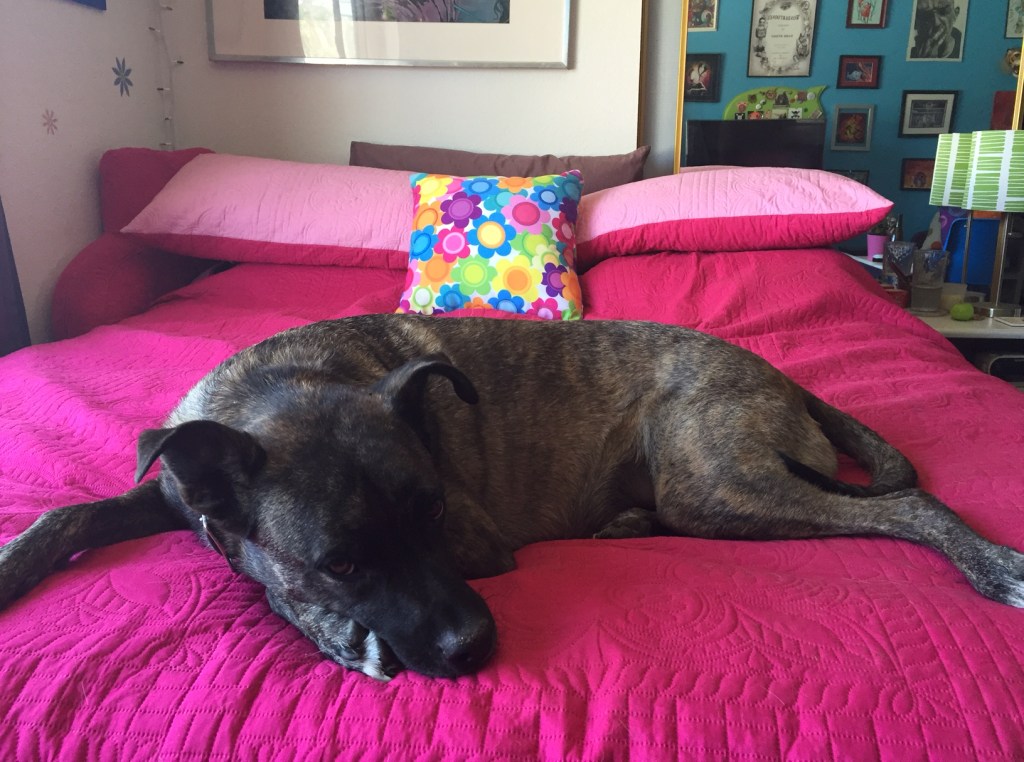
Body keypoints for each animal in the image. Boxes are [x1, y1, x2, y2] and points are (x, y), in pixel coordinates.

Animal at [1, 314, 1022, 681]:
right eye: (342, 560)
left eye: (435, 516)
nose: (474, 646)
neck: (281, 387)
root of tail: (785, 379)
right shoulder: (180, 491)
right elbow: (73, 510)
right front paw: (13, 565)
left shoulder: (480, 542)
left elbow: (266, 590)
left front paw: (335, 634)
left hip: (714, 481)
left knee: (906, 509)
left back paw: (991, 565)